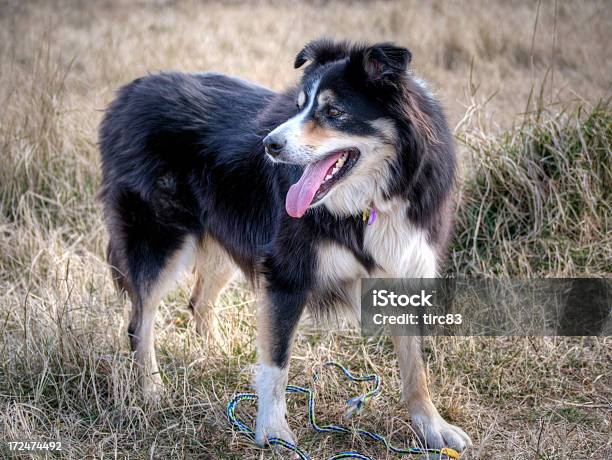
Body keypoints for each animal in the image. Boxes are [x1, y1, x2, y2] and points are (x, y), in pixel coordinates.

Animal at [99, 36, 474, 452]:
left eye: (334, 111)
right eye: (299, 106)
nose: (269, 145)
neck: (371, 202)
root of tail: (129, 92)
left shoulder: (405, 269)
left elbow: (415, 366)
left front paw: (432, 427)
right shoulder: (286, 272)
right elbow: (277, 362)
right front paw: (273, 432)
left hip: (225, 233)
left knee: (198, 302)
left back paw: (214, 357)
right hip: (159, 238)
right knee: (140, 322)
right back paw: (151, 391)